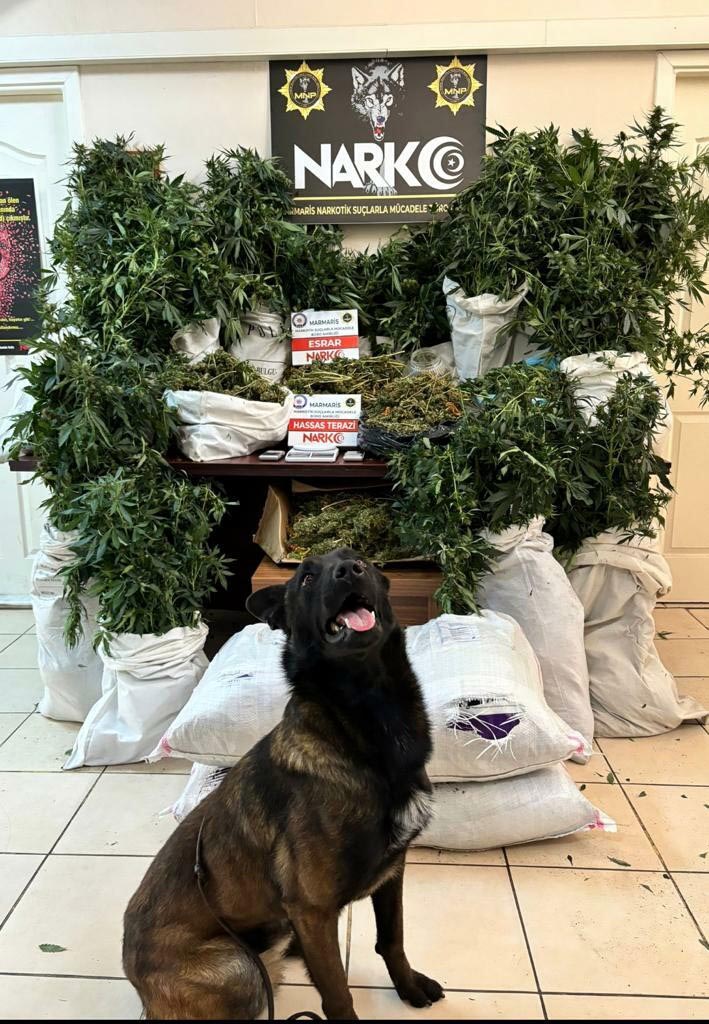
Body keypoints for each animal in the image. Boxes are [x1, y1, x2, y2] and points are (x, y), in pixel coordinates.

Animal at [123, 549, 444, 1020]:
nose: (348, 572)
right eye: (307, 577)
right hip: (240, 968)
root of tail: (136, 982)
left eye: (359, 560)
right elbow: (338, 995)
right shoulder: (312, 911)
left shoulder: (391, 874)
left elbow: (393, 940)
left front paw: (408, 986)